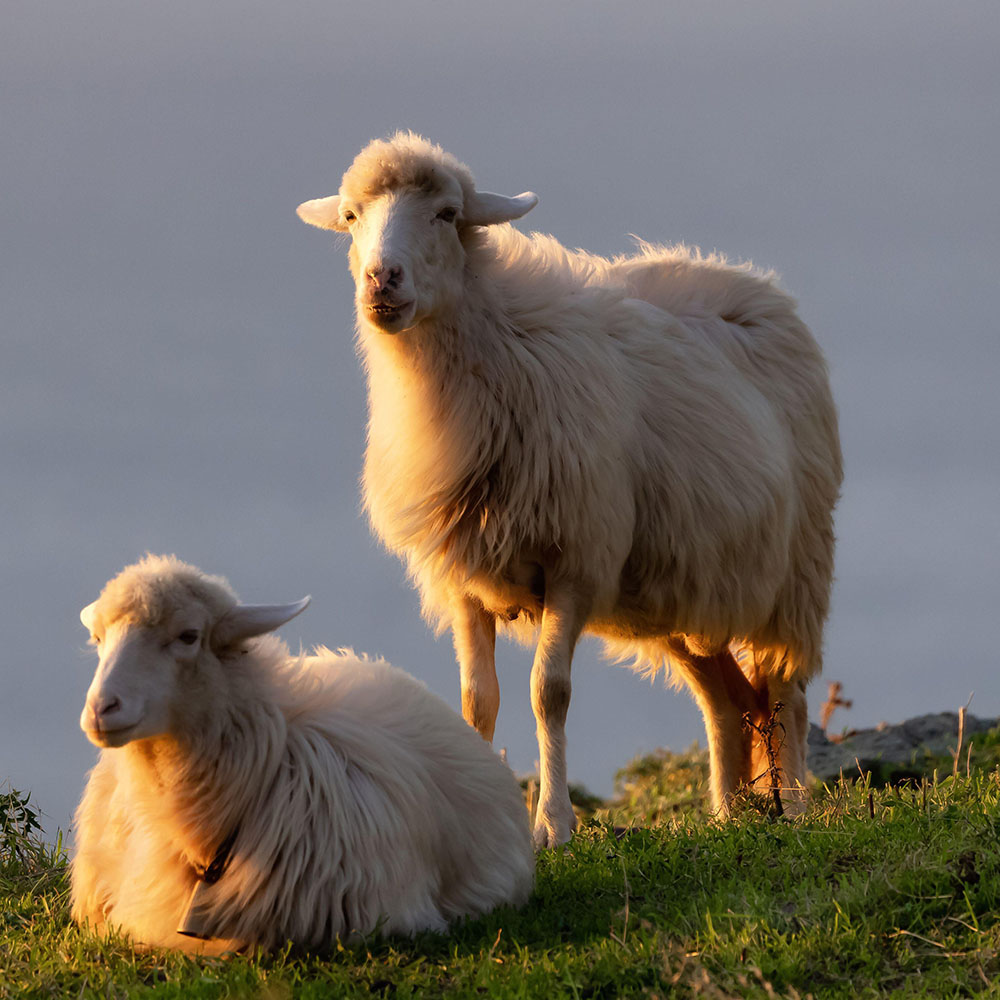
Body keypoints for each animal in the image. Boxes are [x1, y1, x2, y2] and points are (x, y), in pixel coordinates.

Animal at [298, 133, 844, 848]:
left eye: (447, 213)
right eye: (352, 216)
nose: (381, 281)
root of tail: (757, 286)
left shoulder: (576, 564)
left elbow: (547, 693)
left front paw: (554, 826)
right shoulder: (462, 577)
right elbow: (477, 702)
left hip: (795, 569)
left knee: (786, 692)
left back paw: (799, 807)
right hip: (678, 589)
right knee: (725, 700)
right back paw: (728, 816)